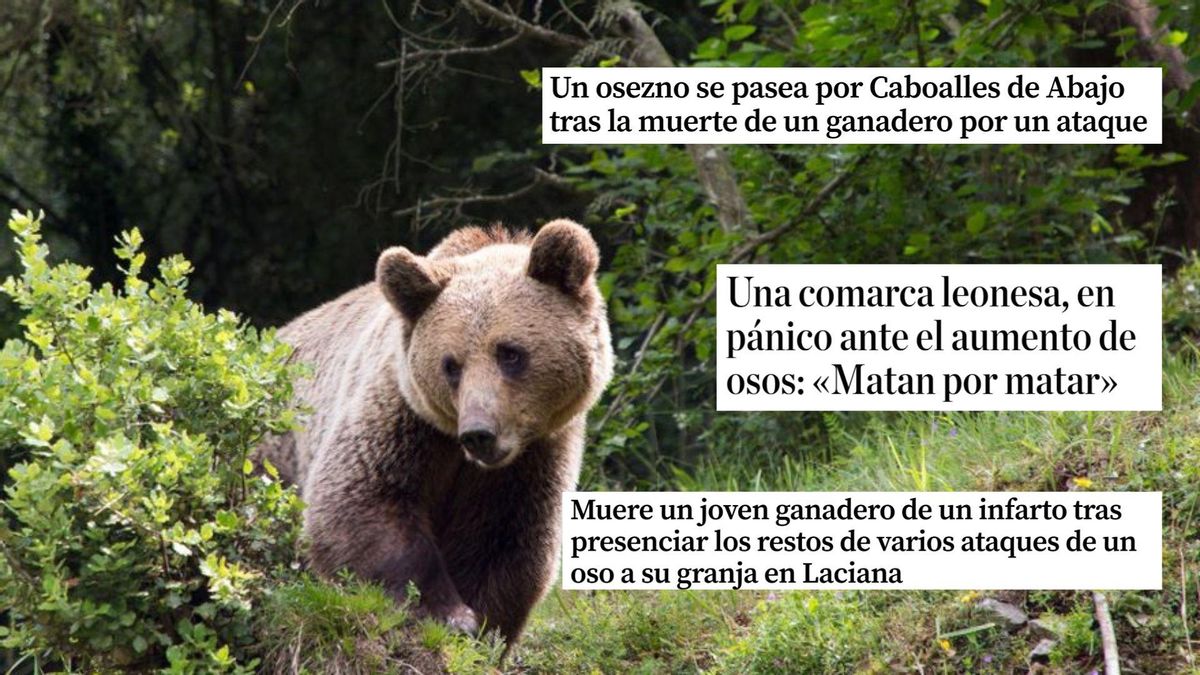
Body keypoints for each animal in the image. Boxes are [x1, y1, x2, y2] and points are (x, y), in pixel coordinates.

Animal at [256, 219, 613, 644]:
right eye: (451, 364)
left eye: (510, 352)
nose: (479, 433)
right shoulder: (404, 419)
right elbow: (362, 501)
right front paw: (448, 613)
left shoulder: (533, 457)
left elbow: (505, 539)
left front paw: (482, 624)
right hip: (273, 455)